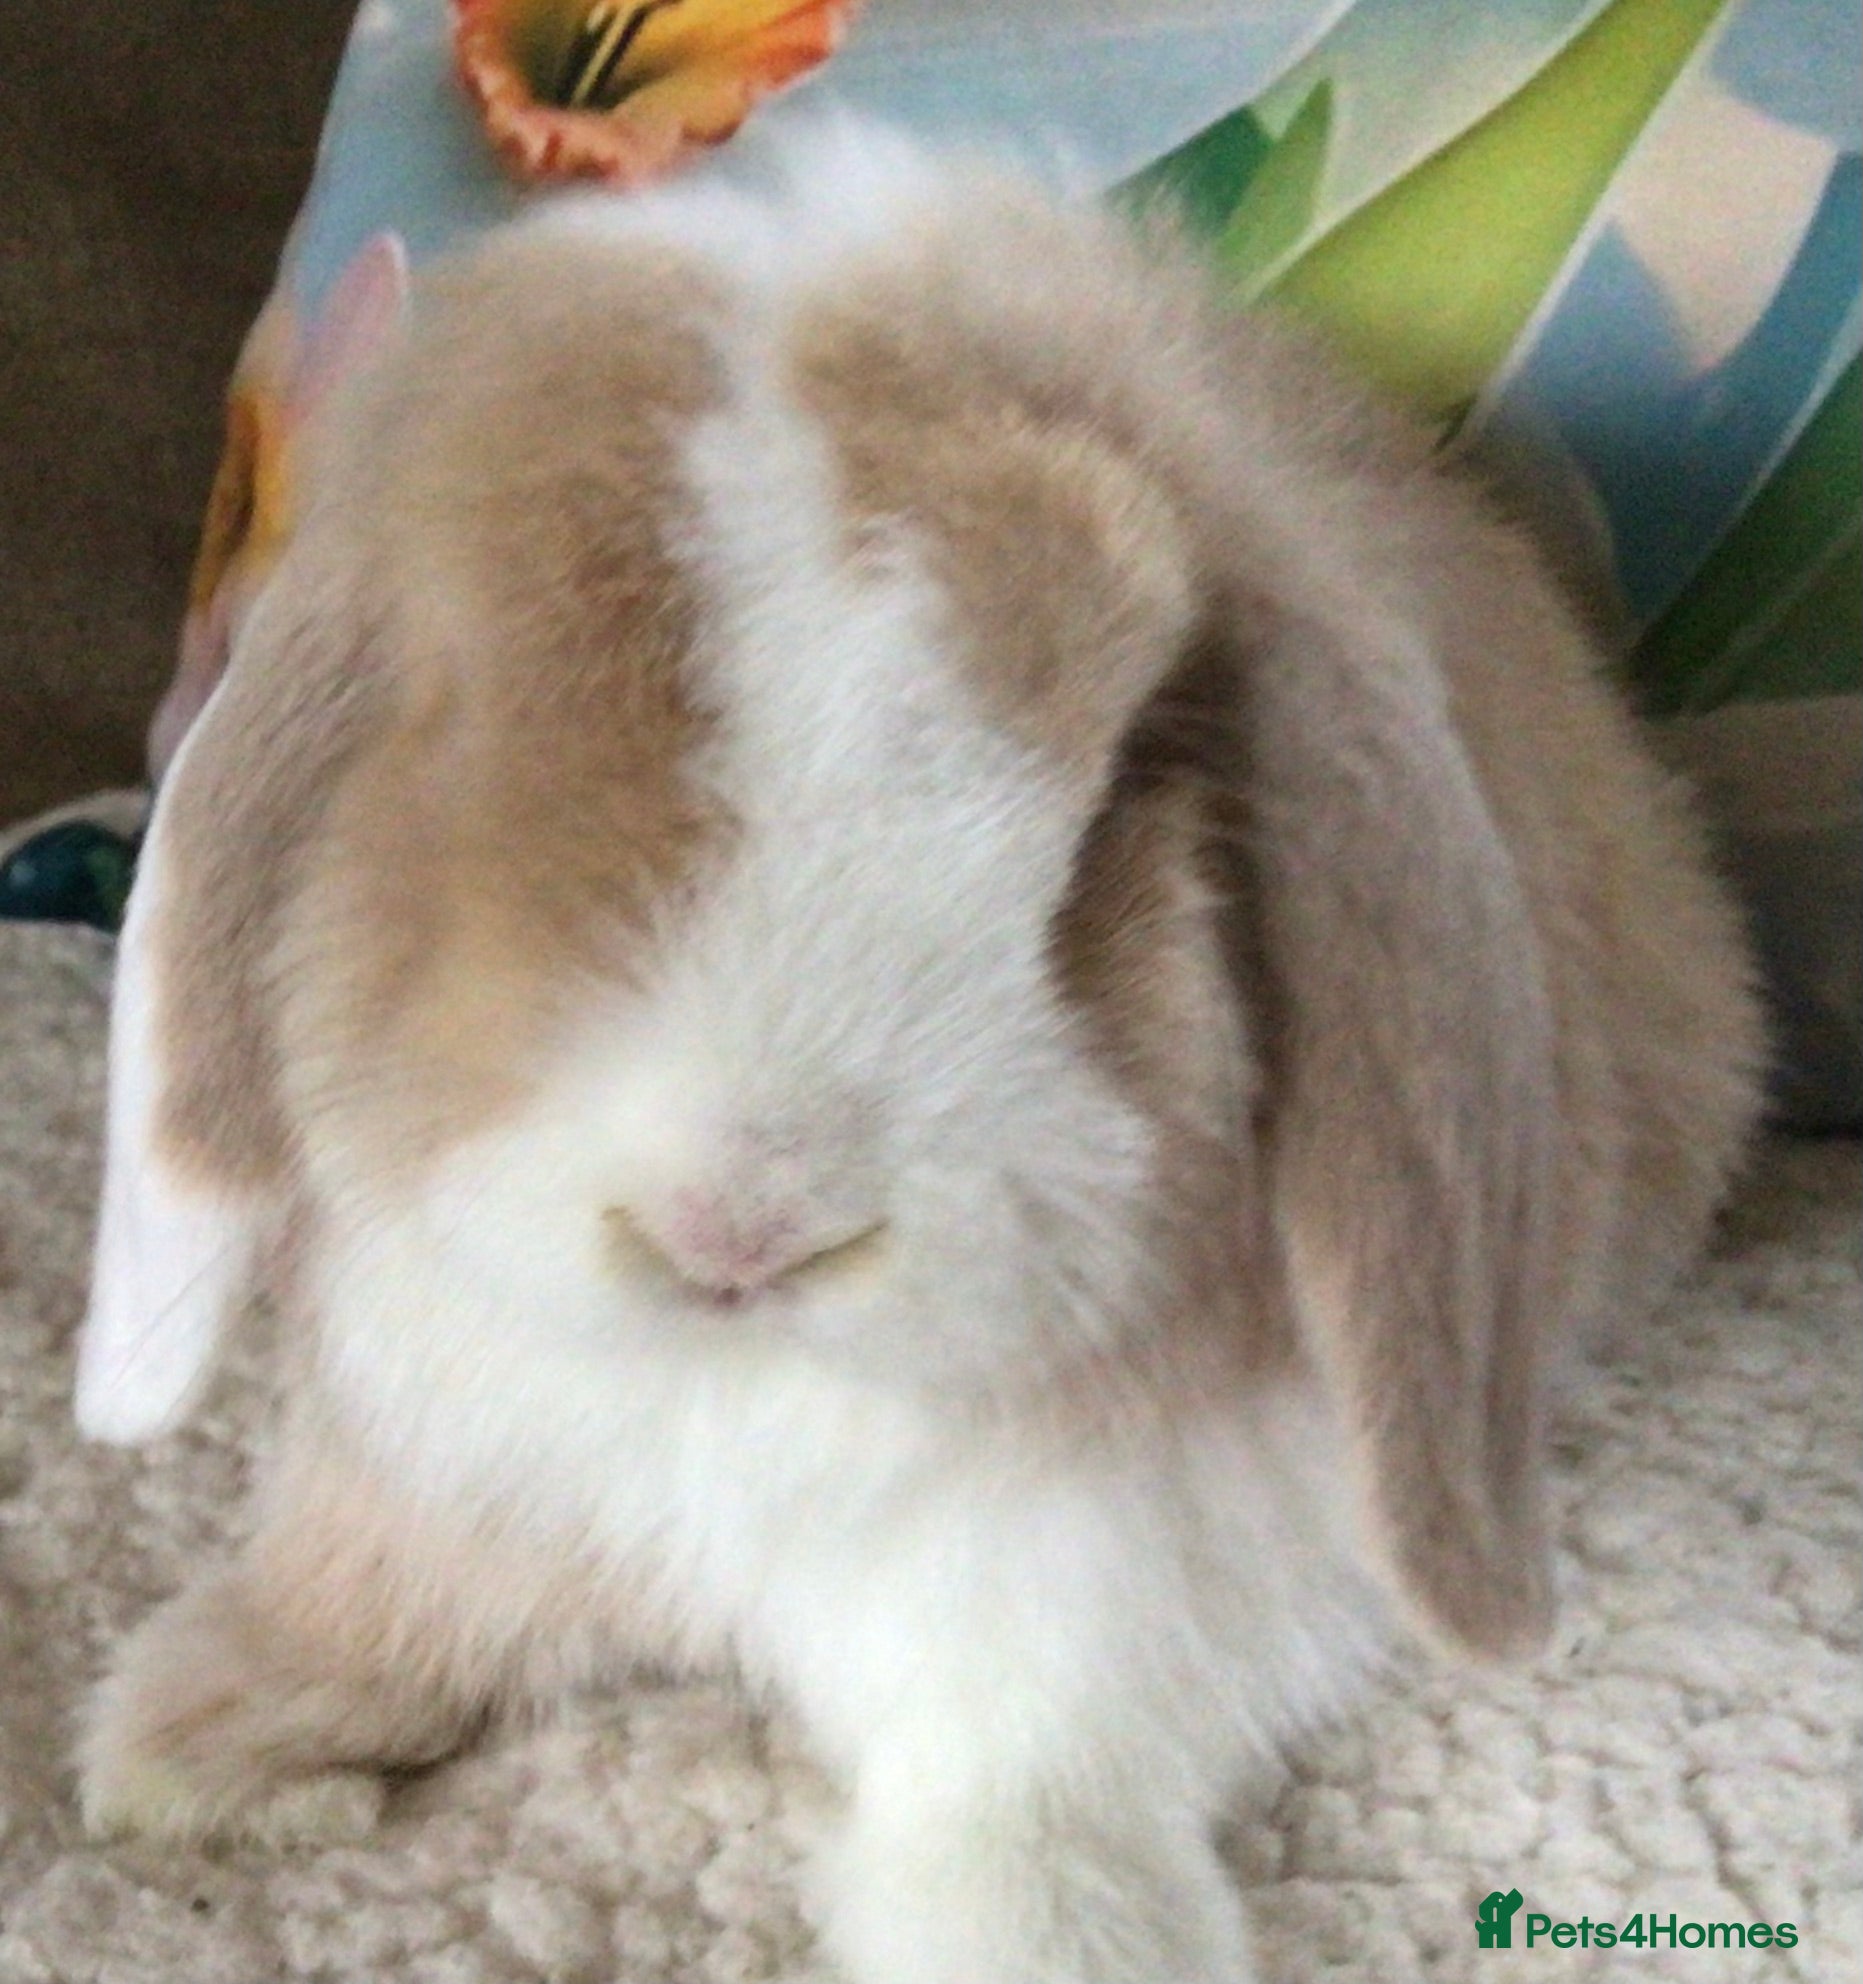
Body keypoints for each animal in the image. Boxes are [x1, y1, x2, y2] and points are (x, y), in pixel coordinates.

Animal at [74, 125, 1764, 1984]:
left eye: (1120, 793)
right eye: (451, 722)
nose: (738, 1225)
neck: (738, 1390)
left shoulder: (1109, 1570)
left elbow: (1023, 1751)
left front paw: (1053, 1936)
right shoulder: (462, 1429)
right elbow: (395, 1575)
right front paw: (191, 1746)